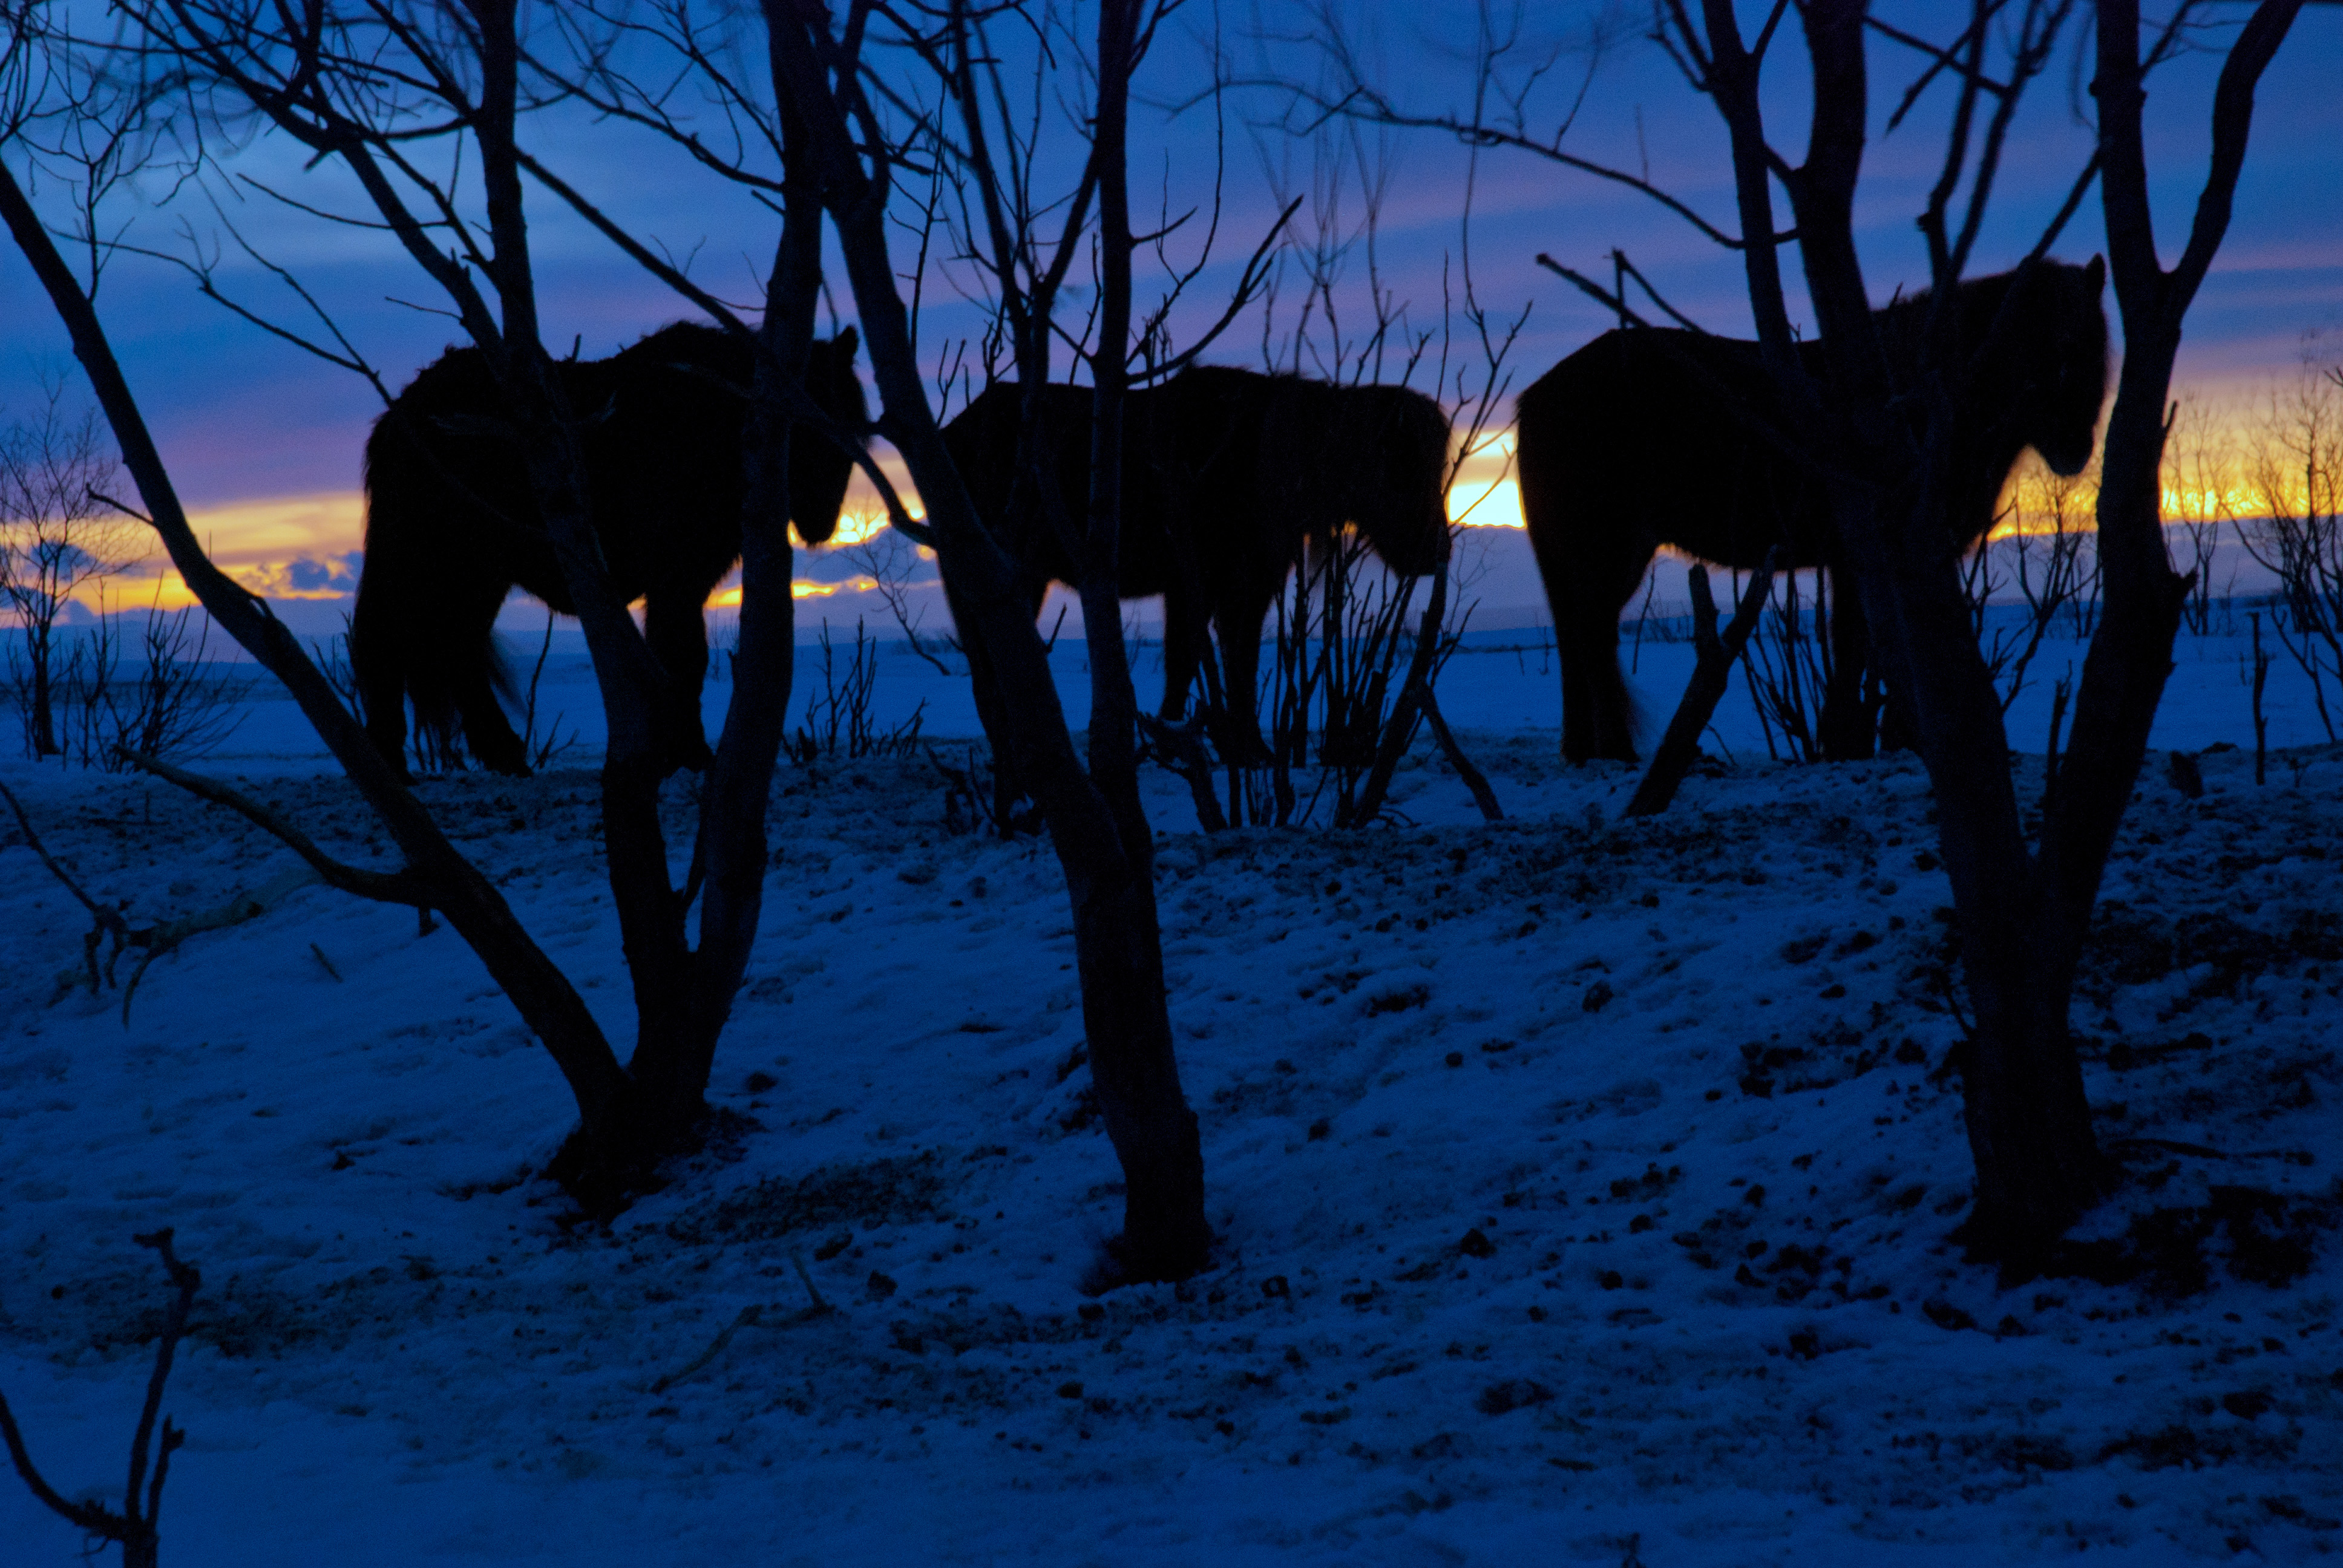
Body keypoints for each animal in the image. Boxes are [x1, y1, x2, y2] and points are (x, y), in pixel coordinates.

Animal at [351, 323, 865, 777]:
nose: (823, 521)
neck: (722, 420)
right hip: (434, 563)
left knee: (459, 651)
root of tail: (396, 416)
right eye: (806, 420)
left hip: (476, 574)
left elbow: (682, 659)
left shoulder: (689, 580)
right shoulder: (676, 579)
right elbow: (682, 658)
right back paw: (394, 764)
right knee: (386, 643)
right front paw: (690, 754)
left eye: (853, 424)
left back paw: (505, 758)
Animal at [936, 365, 1451, 771]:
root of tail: (951, 434)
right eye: (1399, 464)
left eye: (1438, 467)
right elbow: (1188, 662)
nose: (1436, 550)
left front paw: (1249, 750)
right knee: (988, 671)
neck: (1277, 464)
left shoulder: (1253, 583)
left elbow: (1239, 663)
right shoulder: (1195, 581)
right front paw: (1181, 744)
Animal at [1515, 257, 2108, 764]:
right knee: (1592, 635)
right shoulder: (1864, 555)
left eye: (2096, 346)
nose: (2077, 449)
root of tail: (1536, 398)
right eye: (2047, 346)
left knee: (1576, 638)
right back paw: (1615, 752)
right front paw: (1852, 742)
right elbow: (1858, 647)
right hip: (1606, 550)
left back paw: (1583, 751)